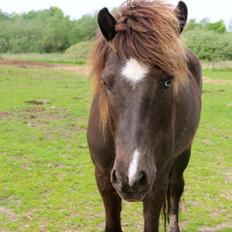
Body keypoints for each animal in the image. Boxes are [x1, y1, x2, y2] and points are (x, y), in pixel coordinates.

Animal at [87, 0, 201, 231]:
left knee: (176, 188)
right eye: (106, 82)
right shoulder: (103, 177)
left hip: (183, 153)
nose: (130, 177)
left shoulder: (156, 183)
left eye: (168, 81)